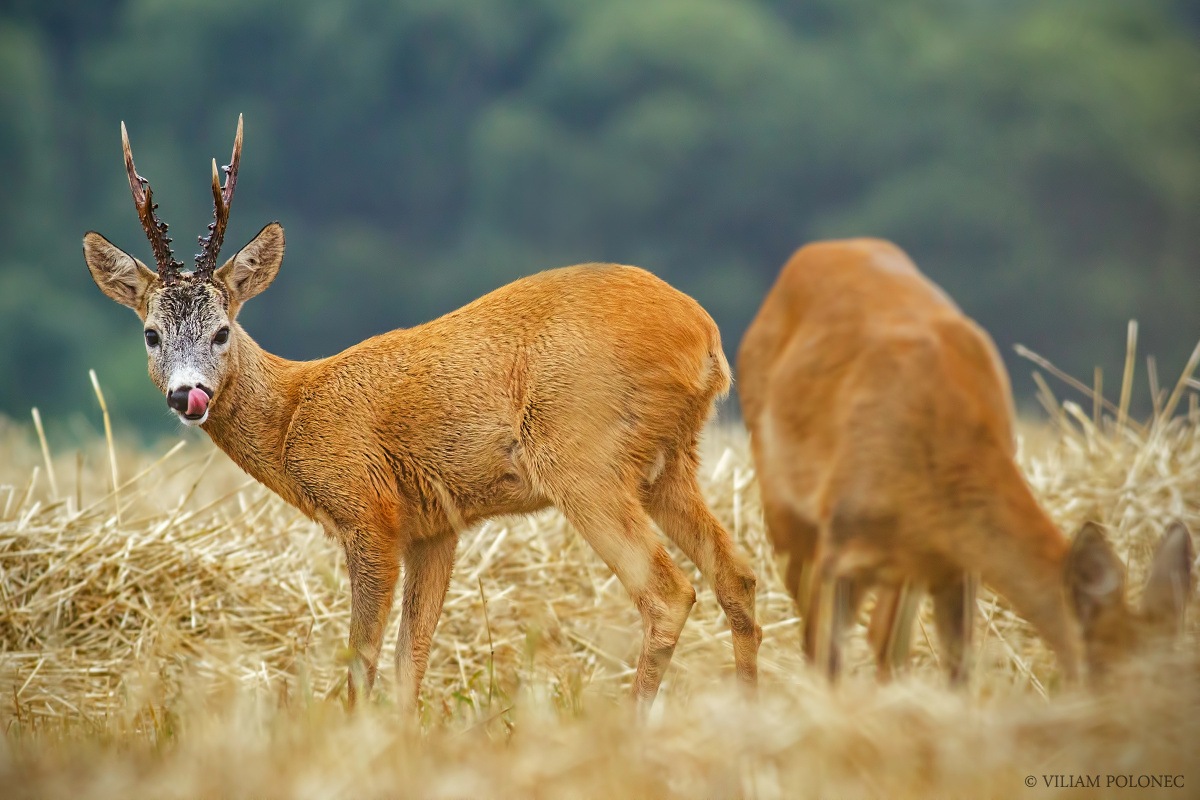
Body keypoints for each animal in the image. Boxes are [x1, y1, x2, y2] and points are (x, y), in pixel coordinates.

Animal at [82, 117, 758, 705]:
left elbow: (363, 662)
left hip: (581, 454)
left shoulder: (368, 511)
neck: (294, 413)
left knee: (669, 592)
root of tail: (705, 337)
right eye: (151, 334)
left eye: (222, 331)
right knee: (738, 575)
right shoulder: (434, 528)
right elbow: (413, 661)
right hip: (668, 462)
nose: (187, 395)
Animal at [734, 237, 1195, 681]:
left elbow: (958, 673)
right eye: (1110, 675)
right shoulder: (841, 547)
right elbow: (825, 661)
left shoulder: (956, 566)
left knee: (884, 638)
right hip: (788, 516)